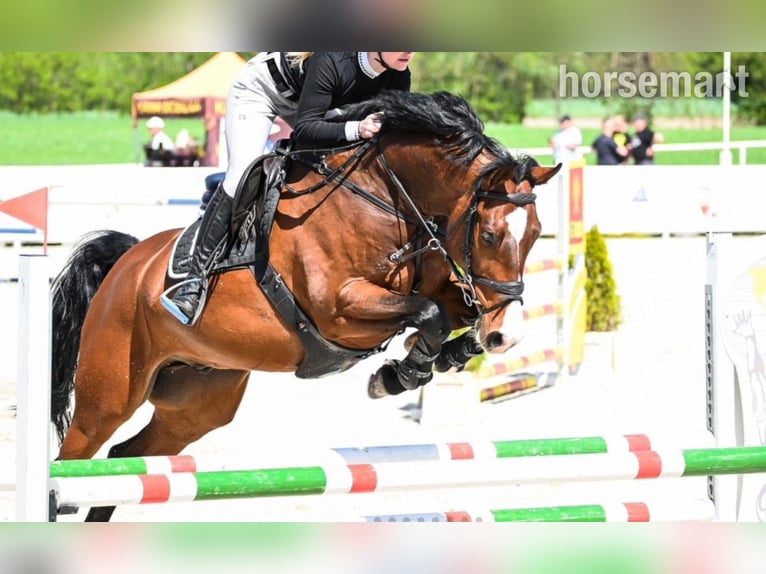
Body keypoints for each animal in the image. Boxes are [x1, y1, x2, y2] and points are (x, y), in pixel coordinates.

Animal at [50, 90, 561, 521]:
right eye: (490, 235)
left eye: (536, 235)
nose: (506, 334)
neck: (388, 198)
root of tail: (127, 263)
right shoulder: (339, 310)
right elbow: (429, 313)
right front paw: (399, 375)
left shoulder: (437, 285)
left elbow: (454, 311)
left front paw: (445, 356)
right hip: (109, 394)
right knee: (73, 459)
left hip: (198, 401)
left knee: (122, 463)